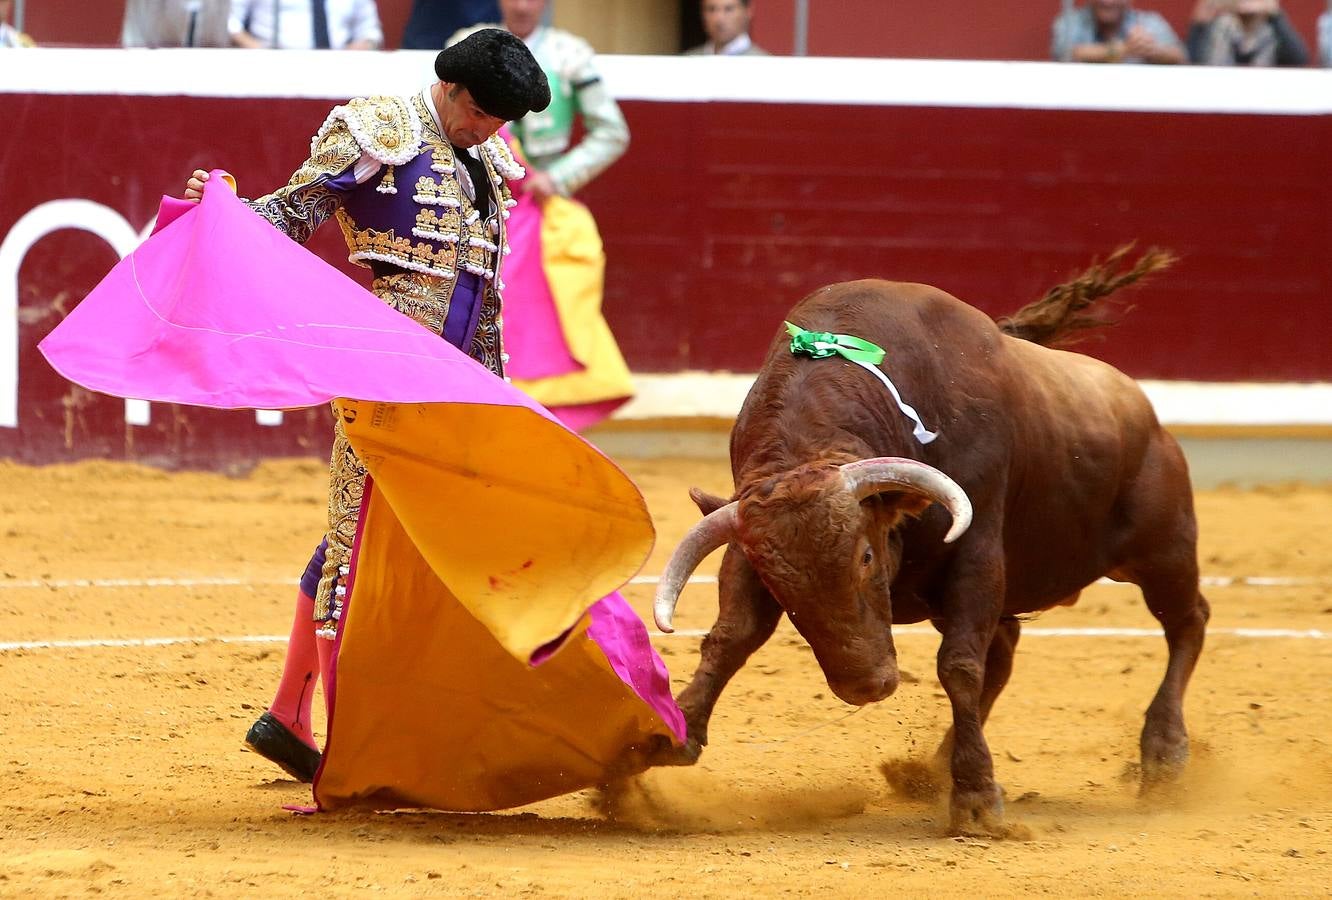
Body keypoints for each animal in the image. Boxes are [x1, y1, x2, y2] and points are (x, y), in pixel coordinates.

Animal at [650, 247, 1214, 836]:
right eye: (779, 585)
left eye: (866, 555)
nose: (866, 687)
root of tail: (1143, 410)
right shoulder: (747, 541)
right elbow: (730, 638)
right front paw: (669, 737)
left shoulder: (977, 552)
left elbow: (959, 666)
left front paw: (976, 799)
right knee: (1006, 654)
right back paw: (931, 770)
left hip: (1163, 550)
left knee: (1186, 621)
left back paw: (1164, 754)